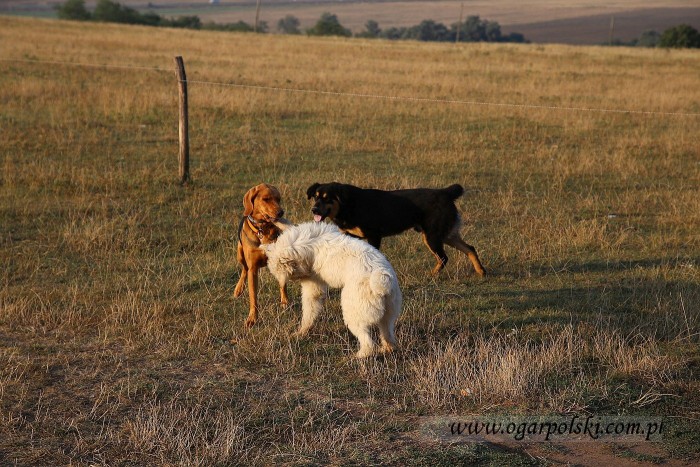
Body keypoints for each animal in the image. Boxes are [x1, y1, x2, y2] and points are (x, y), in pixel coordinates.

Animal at [235, 184, 290, 330]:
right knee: (244, 269)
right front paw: (252, 319)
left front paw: (285, 302)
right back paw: (238, 289)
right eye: (266, 199)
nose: (281, 212)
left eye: (278, 199)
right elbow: (253, 297)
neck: (262, 229)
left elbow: (283, 285)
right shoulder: (253, 269)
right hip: (240, 253)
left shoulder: (279, 261)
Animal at [262, 223, 402, 358]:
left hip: (354, 312)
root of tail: (381, 278)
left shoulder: (313, 282)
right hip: (389, 313)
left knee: (367, 340)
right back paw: (386, 349)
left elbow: (309, 307)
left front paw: (301, 331)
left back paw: (360, 355)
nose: (286, 282)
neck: (310, 242)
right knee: (387, 333)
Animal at [306, 182, 486, 278]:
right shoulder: (351, 237)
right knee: (470, 248)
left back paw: (431, 275)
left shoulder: (374, 236)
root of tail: (445, 192)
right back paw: (481, 271)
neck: (348, 205)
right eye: (315, 197)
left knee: (443, 257)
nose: (314, 210)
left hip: (432, 236)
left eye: (327, 198)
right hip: (446, 234)